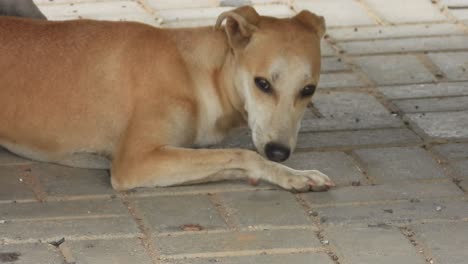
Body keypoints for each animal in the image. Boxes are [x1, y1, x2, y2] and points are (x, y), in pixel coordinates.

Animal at [0, 5, 336, 192]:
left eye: (308, 90)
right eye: (262, 83)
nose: (279, 152)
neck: (195, 72)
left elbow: (230, 159)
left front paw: (293, 173)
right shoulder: (135, 162)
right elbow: (243, 154)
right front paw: (288, 174)